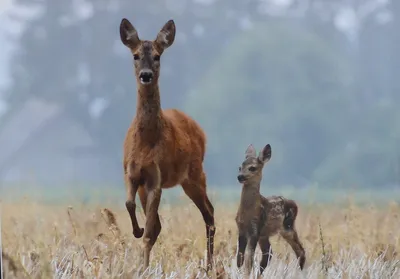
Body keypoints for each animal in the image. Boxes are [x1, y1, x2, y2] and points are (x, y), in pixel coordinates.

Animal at [119, 17, 216, 272]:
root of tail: (200, 130)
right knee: (161, 225)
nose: (145, 75)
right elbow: (129, 205)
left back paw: (210, 266)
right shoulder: (131, 173)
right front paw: (137, 231)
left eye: (157, 56)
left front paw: (143, 269)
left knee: (209, 213)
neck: (145, 143)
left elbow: (148, 233)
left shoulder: (156, 178)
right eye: (135, 55)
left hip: (195, 174)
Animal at [234, 145, 306, 276]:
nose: (240, 176)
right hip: (265, 234)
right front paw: (238, 273)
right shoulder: (241, 228)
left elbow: (249, 258)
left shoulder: (255, 228)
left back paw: (299, 273)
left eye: (252, 168)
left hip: (287, 227)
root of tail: (294, 203)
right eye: (240, 167)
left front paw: (246, 274)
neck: (248, 211)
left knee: (300, 250)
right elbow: (239, 258)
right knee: (268, 253)